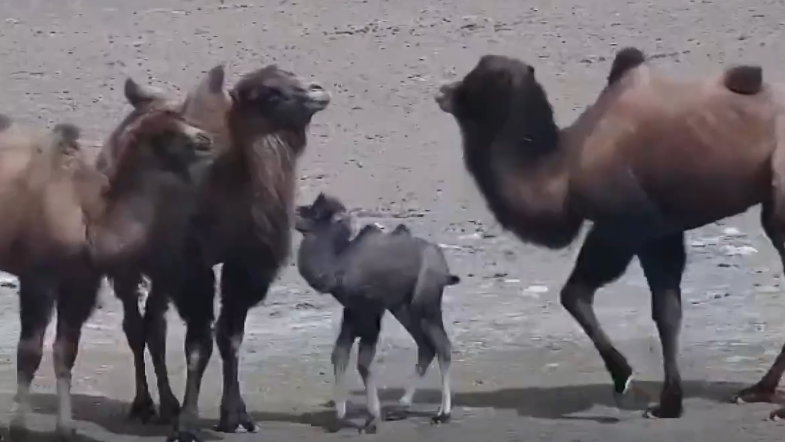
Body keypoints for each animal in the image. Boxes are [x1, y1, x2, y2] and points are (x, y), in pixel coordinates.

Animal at [0, 105, 214, 440]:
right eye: (166, 132)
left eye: (184, 118)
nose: (205, 139)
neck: (90, 220)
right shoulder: (38, 276)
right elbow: (29, 350)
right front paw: (17, 426)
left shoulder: (82, 283)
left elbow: (65, 351)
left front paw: (66, 428)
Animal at [98, 63, 330, 442]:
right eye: (269, 93)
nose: (317, 90)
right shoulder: (193, 267)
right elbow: (198, 344)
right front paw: (189, 424)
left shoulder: (243, 265)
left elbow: (230, 337)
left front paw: (236, 415)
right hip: (128, 262)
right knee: (134, 325)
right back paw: (144, 405)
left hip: (163, 270)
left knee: (155, 325)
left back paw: (168, 404)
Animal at [294, 193, 460, 432]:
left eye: (315, 212)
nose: (296, 211)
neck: (338, 267)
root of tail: (444, 268)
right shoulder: (352, 311)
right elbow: (339, 354)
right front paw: (340, 415)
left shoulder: (371, 310)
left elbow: (363, 362)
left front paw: (371, 419)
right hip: (402, 308)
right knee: (426, 346)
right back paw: (401, 407)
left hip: (425, 305)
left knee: (442, 346)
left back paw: (442, 414)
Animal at [434, 48, 784, 422]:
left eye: (478, 81)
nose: (443, 91)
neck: (564, 171)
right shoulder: (660, 231)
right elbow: (667, 310)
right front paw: (669, 402)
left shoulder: (621, 226)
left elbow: (574, 294)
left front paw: (624, 378)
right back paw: (757, 391)